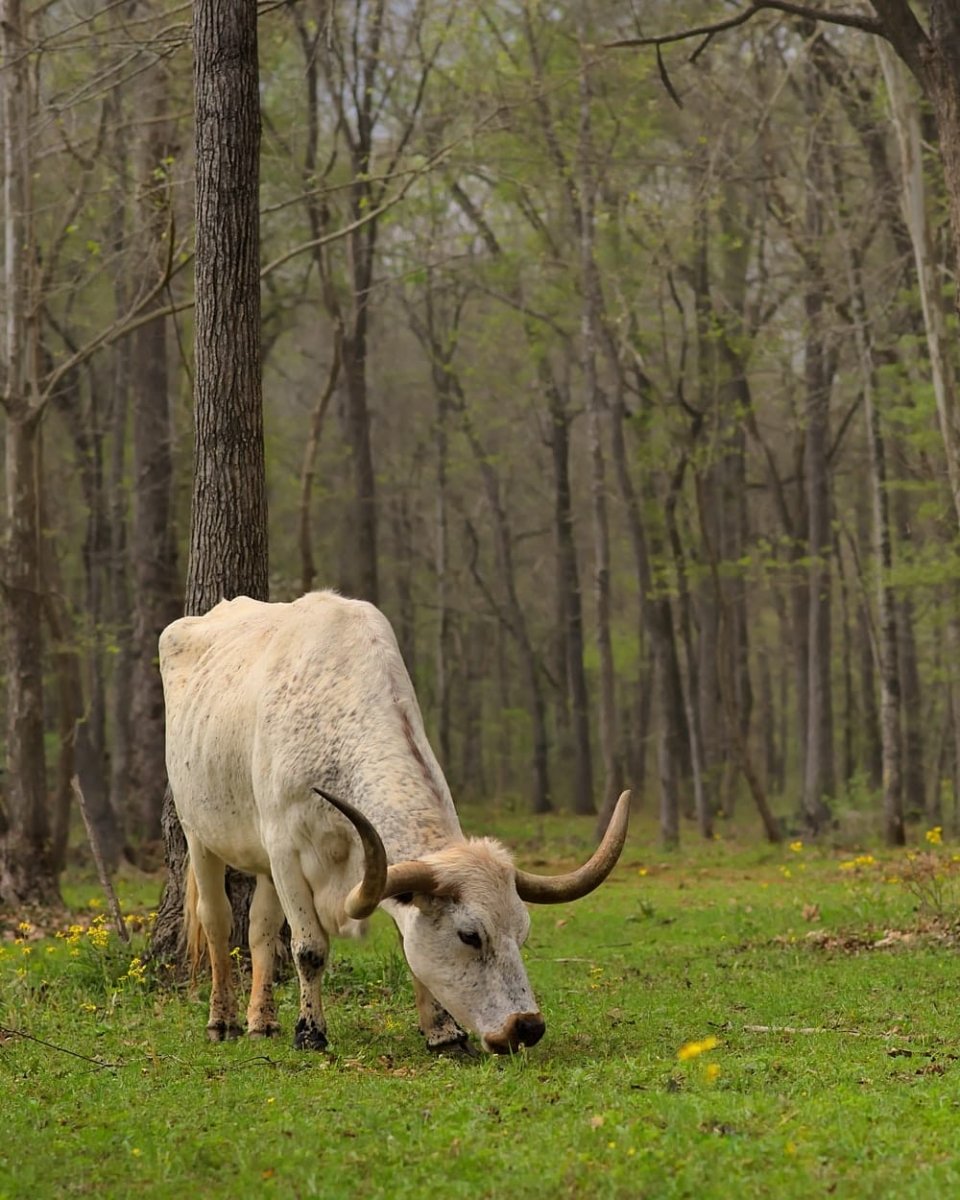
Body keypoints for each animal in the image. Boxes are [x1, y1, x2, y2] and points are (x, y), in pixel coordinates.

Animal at [159, 591, 630, 1055]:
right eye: (470, 935)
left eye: (523, 932)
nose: (526, 1026)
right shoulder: (285, 853)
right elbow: (309, 948)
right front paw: (310, 1032)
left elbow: (406, 945)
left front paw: (442, 1032)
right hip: (198, 833)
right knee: (217, 920)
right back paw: (222, 1020)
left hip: (259, 862)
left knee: (260, 928)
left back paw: (262, 1020)